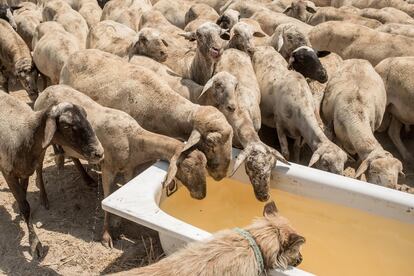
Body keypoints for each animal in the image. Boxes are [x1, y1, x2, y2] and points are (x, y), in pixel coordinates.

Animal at [33, 84, 207, 248]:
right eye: (188, 168)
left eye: (204, 163)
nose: (202, 195)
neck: (133, 139)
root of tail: (46, 90)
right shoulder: (108, 169)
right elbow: (105, 200)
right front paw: (106, 236)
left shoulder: (129, 168)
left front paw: (118, 222)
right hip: (43, 141)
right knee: (38, 166)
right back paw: (44, 197)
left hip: (72, 145)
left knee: (73, 157)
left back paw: (86, 179)